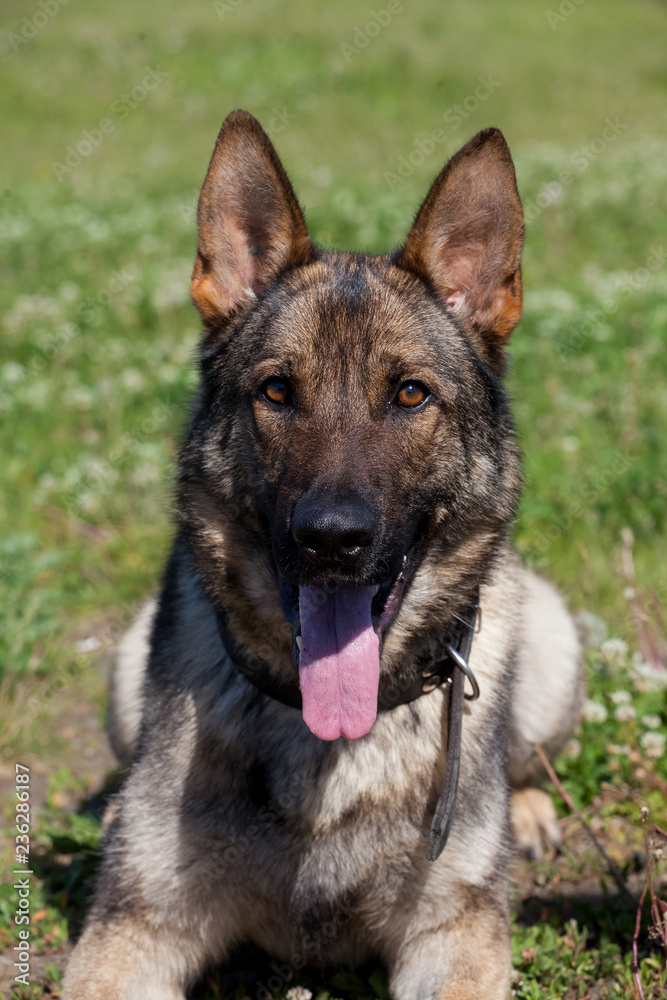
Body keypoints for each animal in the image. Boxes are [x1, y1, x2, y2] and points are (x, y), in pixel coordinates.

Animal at [64, 111, 584, 1000]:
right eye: (277, 391)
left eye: (409, 394)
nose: (332, 539)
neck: (332, 740)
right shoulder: (134, 927)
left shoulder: (452, 934)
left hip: (549, 643)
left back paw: (525, 808)